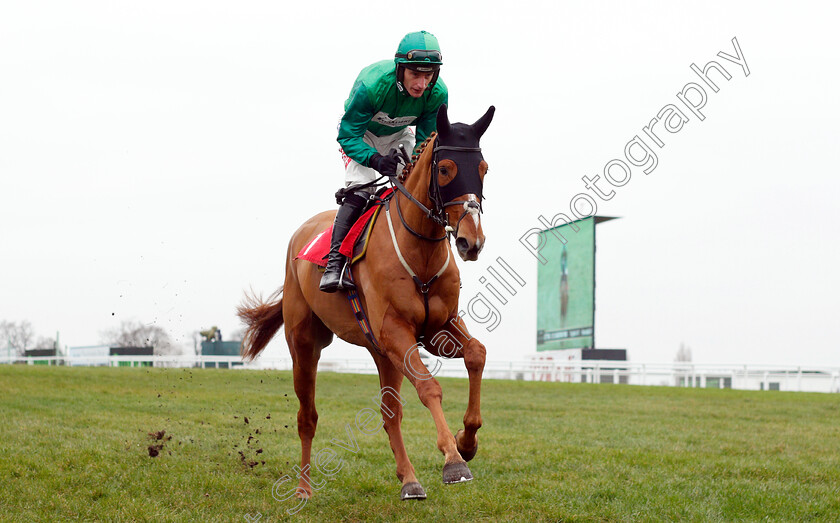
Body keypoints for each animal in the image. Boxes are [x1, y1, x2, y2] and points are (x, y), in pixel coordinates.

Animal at [238, 104, 492, 502]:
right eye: (446, 169)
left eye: (483, 169)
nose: (471, 241)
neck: (419, 252)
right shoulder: (397, 332)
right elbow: (429, 388)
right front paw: (453, 461)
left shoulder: (437, 329)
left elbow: (476, 354)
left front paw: (467, 441)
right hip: (306, 343)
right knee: (307, 417)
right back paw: (303, 488)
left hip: (380, 351)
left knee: (390, 414)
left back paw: (409, 480)